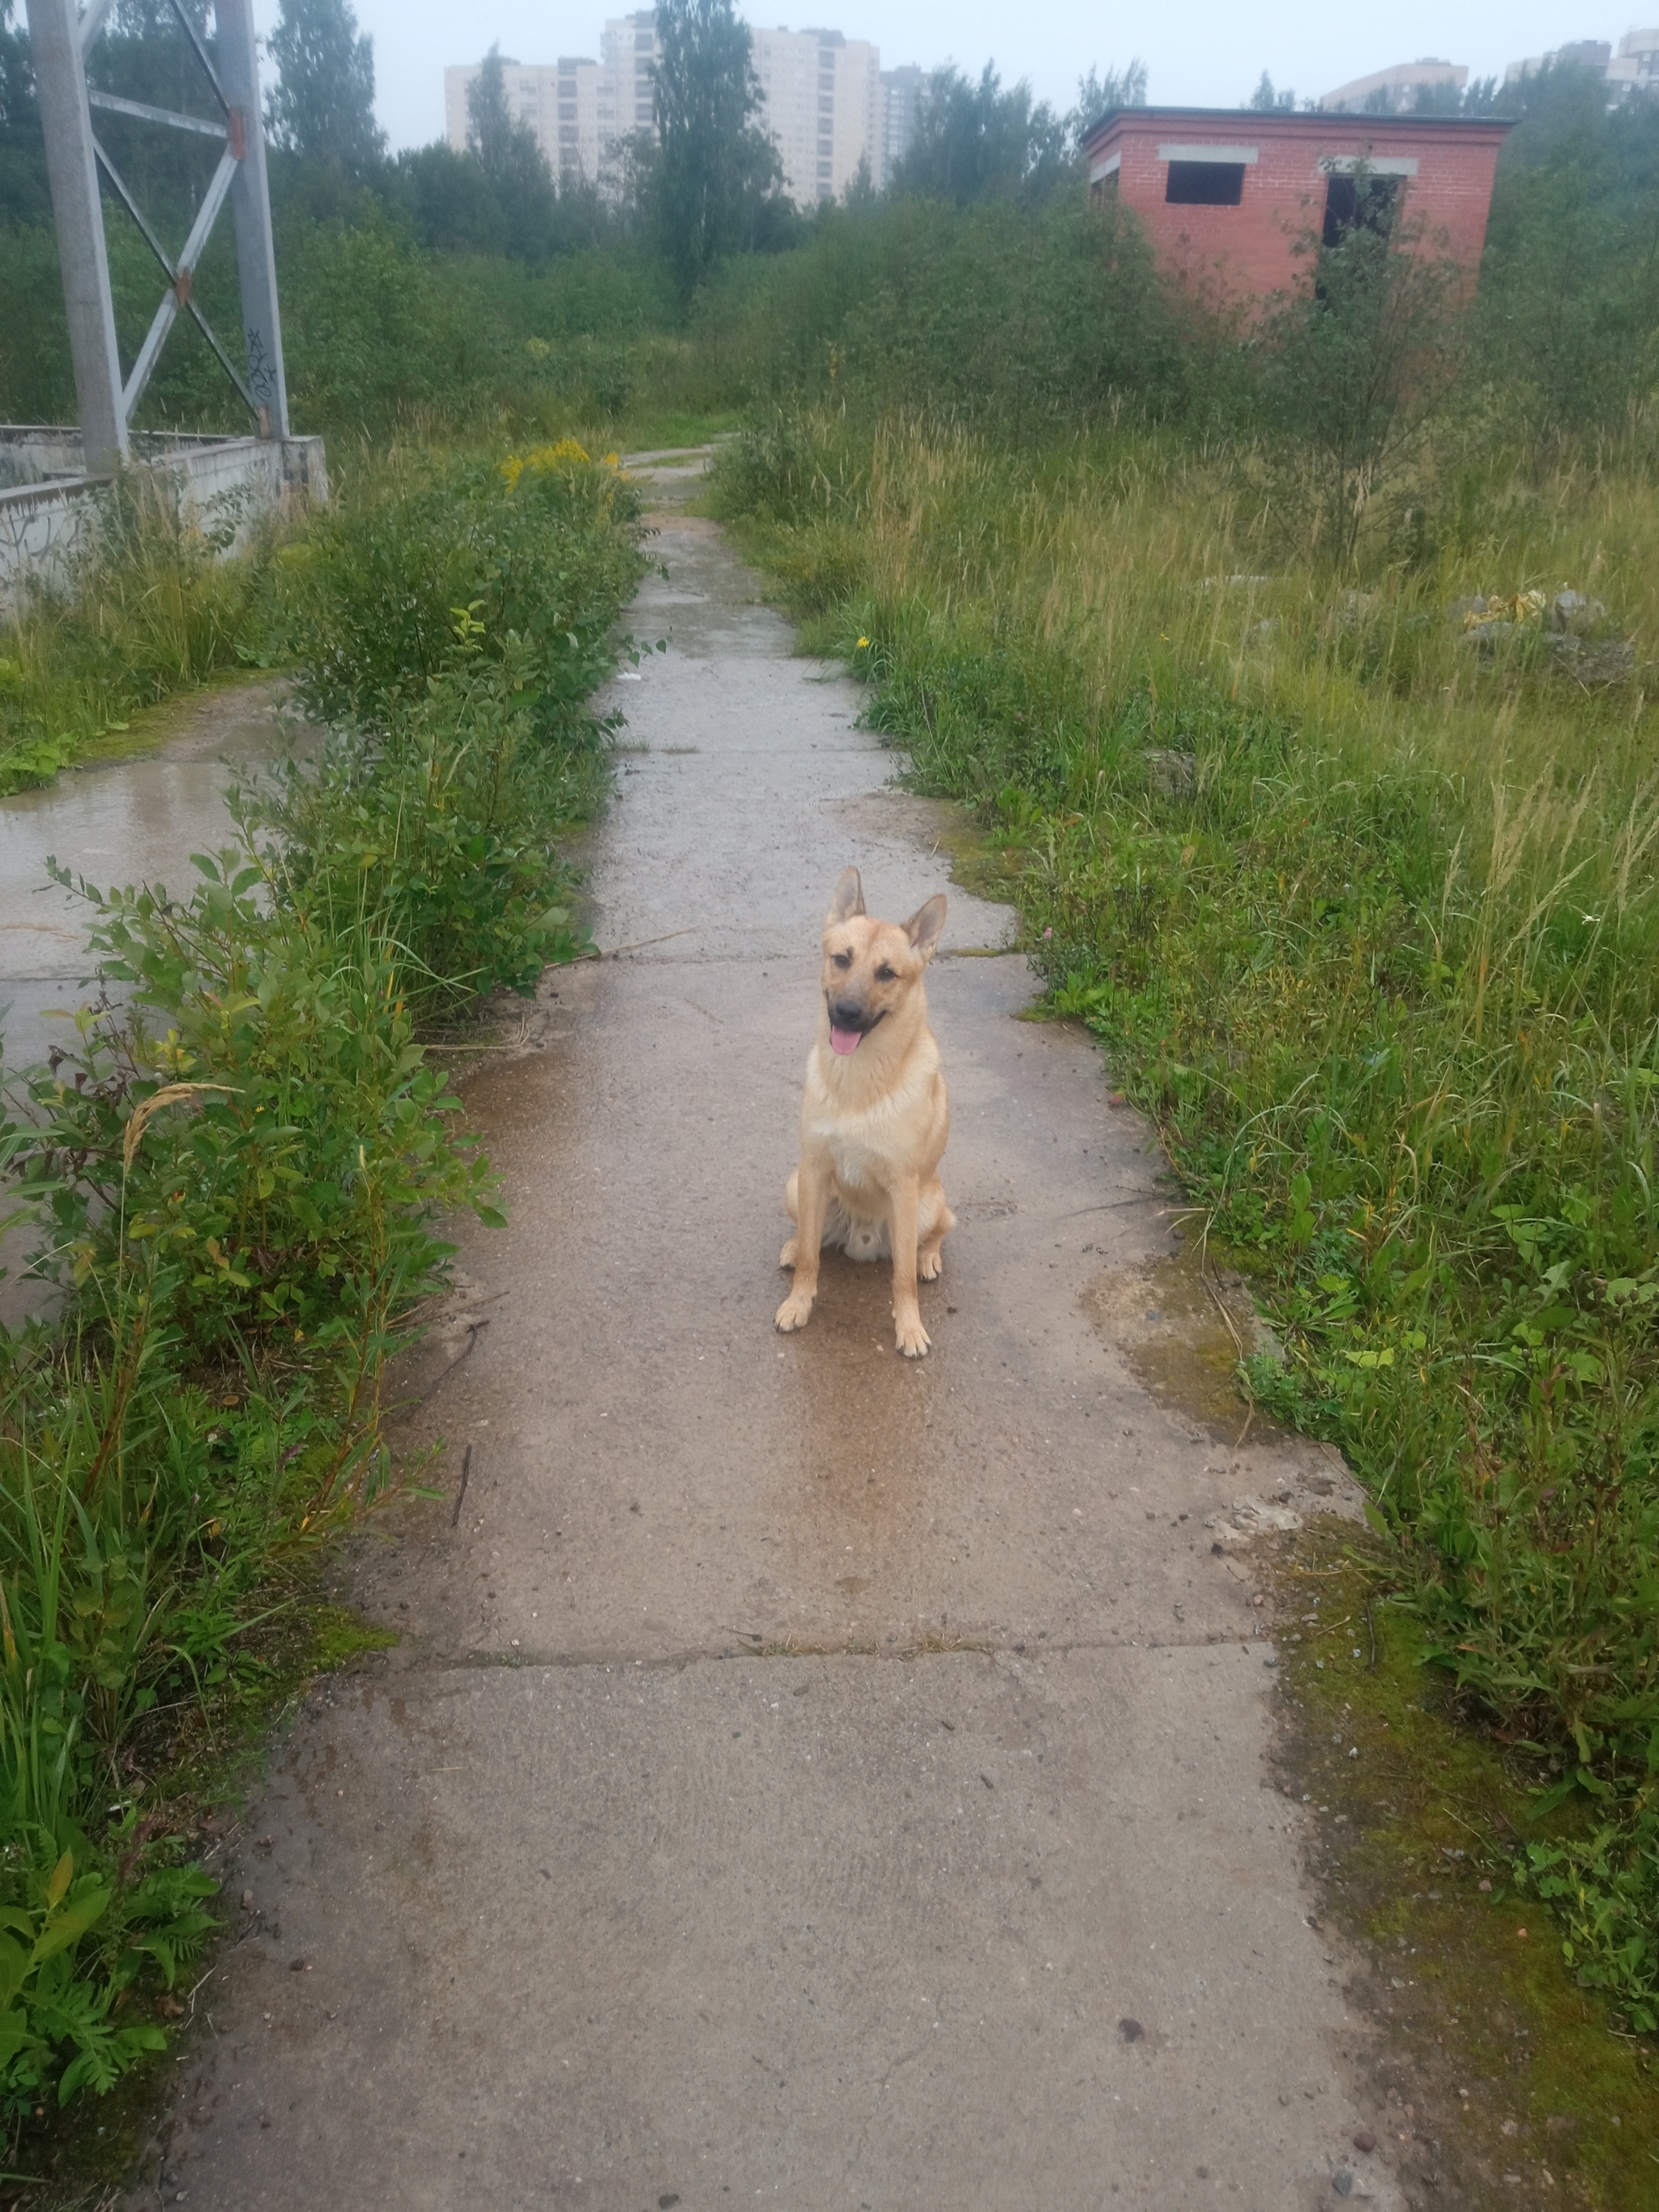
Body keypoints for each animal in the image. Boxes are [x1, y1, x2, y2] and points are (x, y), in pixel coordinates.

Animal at [774, 858, 955, 1345]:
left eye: (887, 973)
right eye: (842, 959)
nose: (846, 1014)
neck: (858, 1082)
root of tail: (864, 1241)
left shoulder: (904, 1188)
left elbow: (902, 1279)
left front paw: (909, 1327)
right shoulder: (815, 1170)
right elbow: (812, 1261)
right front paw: (799, 1304)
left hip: (927, 1206)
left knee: (938, 1233)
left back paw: (929, 1257)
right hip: (797, 1186)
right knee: (811, 1238)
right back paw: (793, 1246)